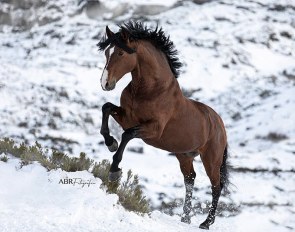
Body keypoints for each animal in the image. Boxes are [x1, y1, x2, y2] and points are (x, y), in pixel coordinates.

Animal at [98, 21, 230, 230]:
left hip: (211, 159)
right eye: (106, 52)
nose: (105, 83)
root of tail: (219, 123)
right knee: (190, 179)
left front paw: (114, 171)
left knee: (217, 187)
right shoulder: (127, 117)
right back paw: (185, 218)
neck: (151, 90)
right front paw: (110, 142)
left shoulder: (152, 129)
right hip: (184, 155)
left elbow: (127, 135)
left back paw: (205, 223)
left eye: (121, 53)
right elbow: (106, 108)